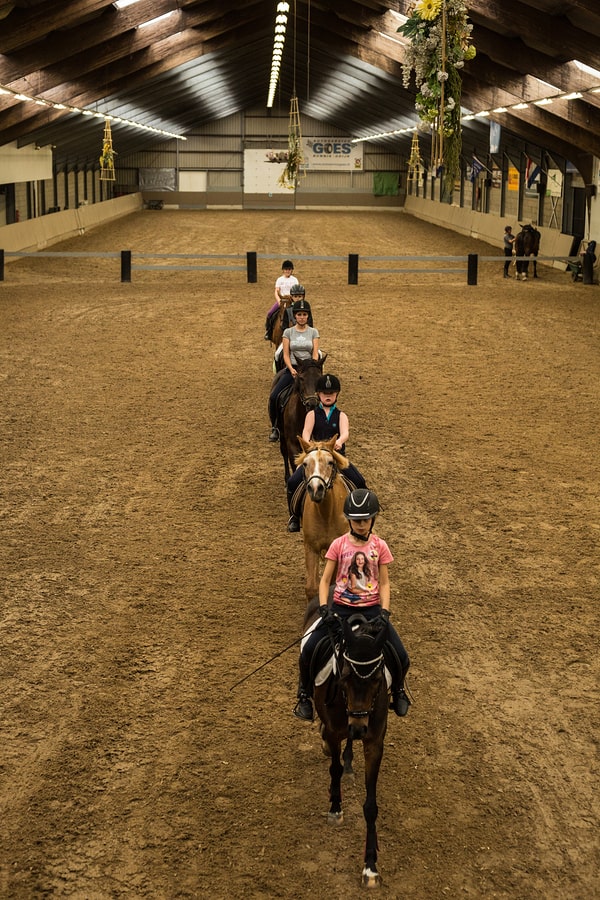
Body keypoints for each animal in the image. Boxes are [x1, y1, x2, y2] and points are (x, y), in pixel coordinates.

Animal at [302, 600, 392, 888]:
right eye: (343, 677)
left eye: (377, 681)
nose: (359, 727)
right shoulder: (334, 731)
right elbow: (334, 768)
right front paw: (335, 808)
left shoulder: (374, 742)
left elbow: (371, 806)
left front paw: (370, 867)